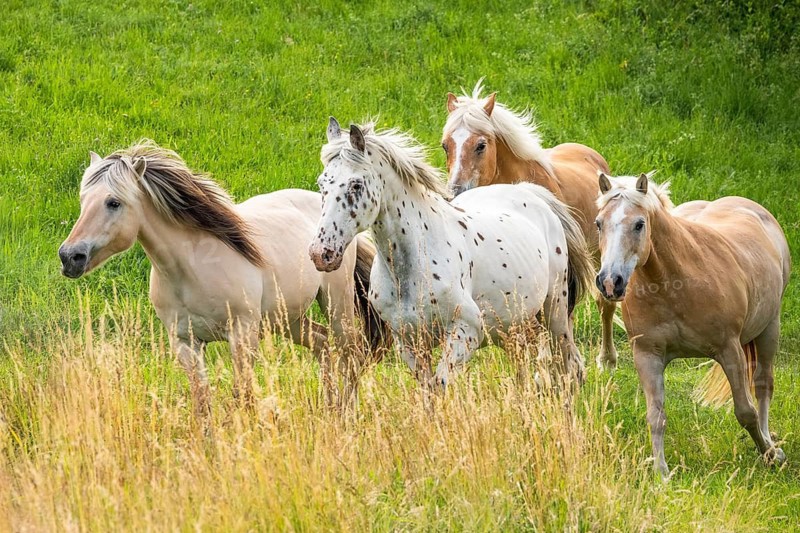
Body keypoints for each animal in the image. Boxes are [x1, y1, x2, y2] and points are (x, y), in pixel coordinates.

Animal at [58, 140, 383, 421]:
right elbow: (202, 402)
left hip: (336, 304)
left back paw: (345, 415)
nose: (70, 256)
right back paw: (329, 409)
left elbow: (245, 397)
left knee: (350, 353)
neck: (190, 270)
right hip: (286, 318)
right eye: (83, 200)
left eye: (113, 202)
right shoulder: (186, 343)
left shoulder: (242, 335)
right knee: (322, 344)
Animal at [309, 118, 594, 389]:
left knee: (571, 367)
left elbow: (441, 384)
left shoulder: (466, 332)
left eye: (356, 185)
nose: (321, 253)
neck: (413, 264)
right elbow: (428, 393)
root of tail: (529, 192)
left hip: (555, 313)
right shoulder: (409, 343)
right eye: (322, 184)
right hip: (512, 326)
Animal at [594, 172, 790, 477]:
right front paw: (661, 473)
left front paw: (769, 454)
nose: (609, 282)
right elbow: (656, 415)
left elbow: (746, 411)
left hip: (770, 327)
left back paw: (770, 443)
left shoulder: (729, 351)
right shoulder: (647, 356)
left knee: (763, 385)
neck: (673, 283)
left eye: (639, 224)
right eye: (598, 223)